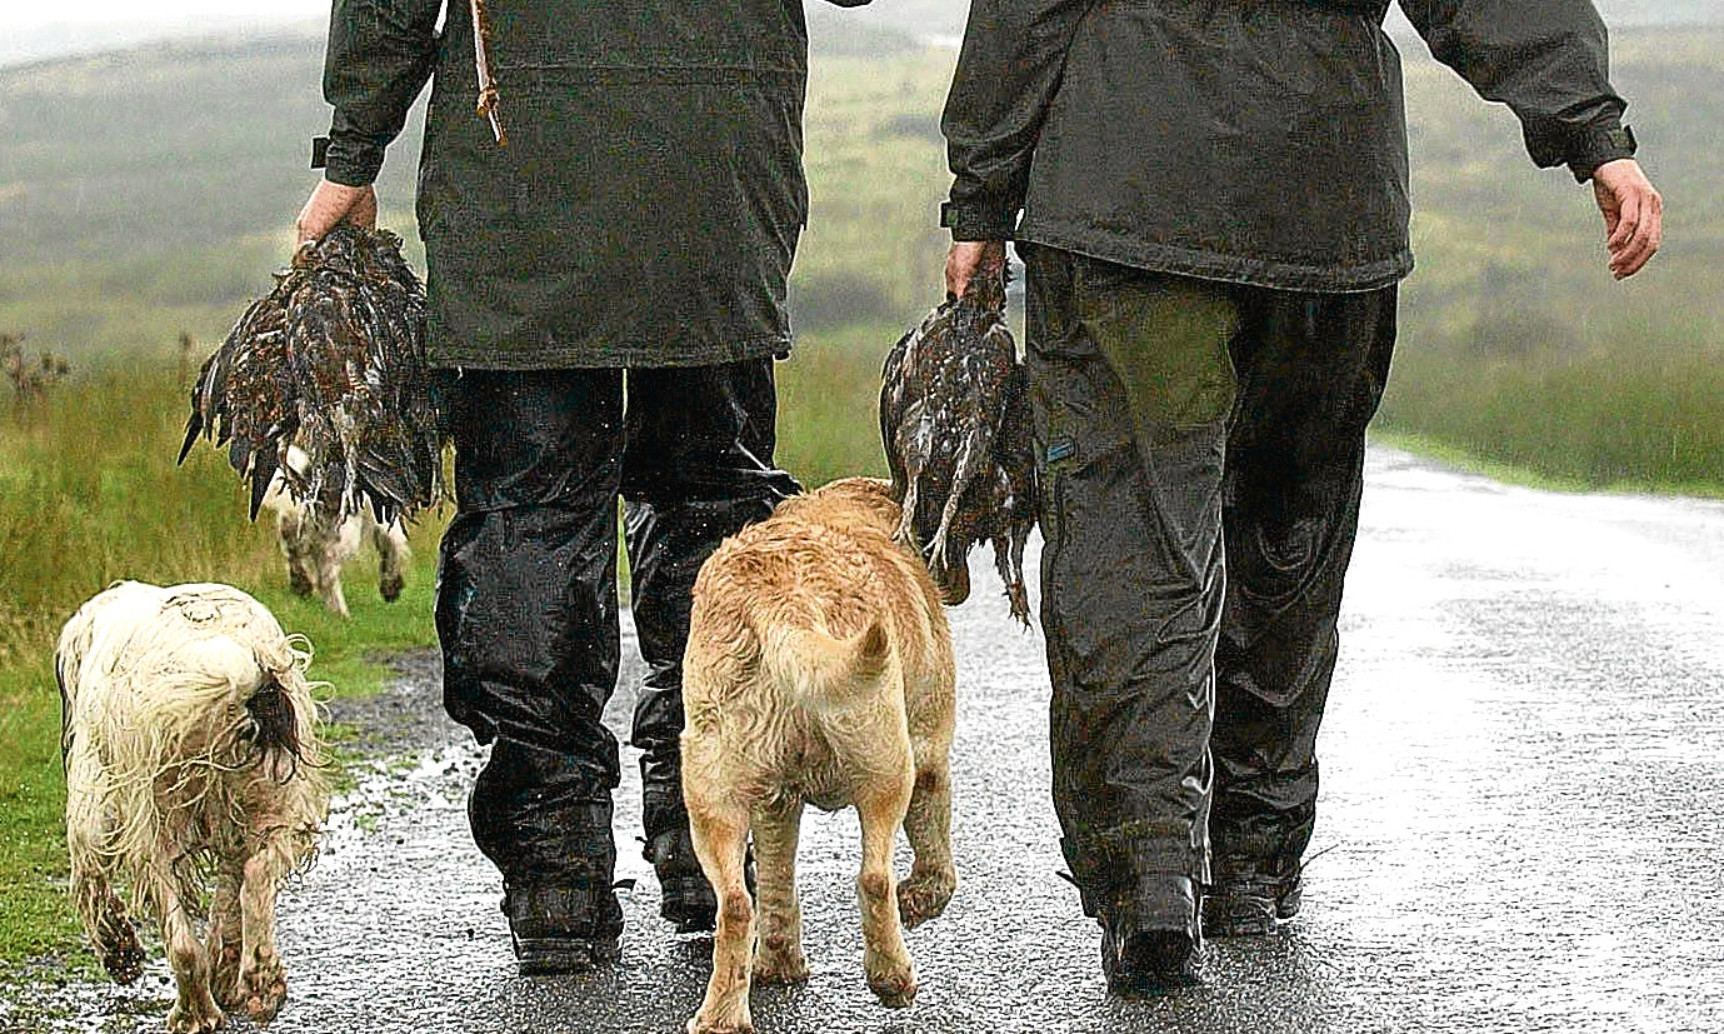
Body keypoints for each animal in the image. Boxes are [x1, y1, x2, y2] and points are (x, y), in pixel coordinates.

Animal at [59, 582, 329, 1034]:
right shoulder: (233, 827)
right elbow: (227, 904)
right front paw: (226, 974)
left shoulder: (93, 800)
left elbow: (91, 875)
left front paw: (119, 952)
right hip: (272, 804)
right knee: (255, 879)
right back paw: (261, 982)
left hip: (151, 827)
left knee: (182, 942)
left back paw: (194, 1012)